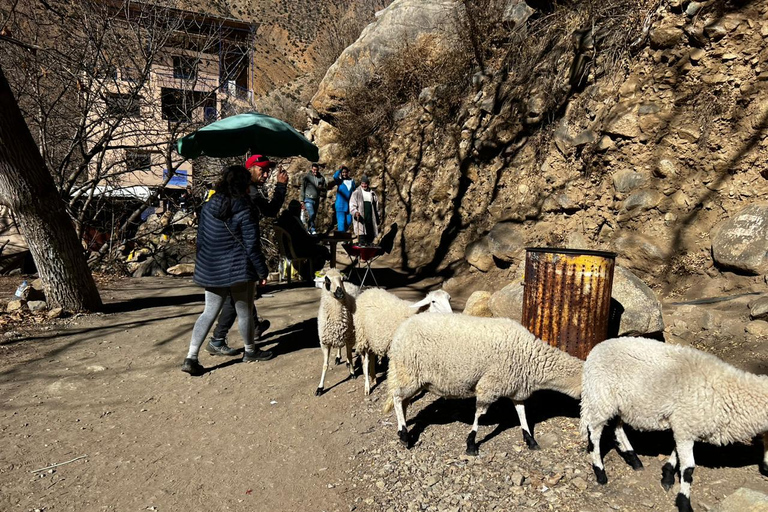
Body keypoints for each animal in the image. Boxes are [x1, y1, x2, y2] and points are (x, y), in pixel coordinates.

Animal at [384, 314, 584, 454]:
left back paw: (403, 430)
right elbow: (479, 414)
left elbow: (522, 413)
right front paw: (471, 444)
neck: (531, 359)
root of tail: (399, 333)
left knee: (403, 401)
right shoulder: (490, 385)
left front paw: (530, 440)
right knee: (397, 397)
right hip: (410, 372)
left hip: (411, 376)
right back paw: (404, 435)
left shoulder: (515, 387)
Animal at [584, 336, 768, 512]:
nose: (767, 469)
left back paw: (633, 458)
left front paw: (667, 475)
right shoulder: (685, 424)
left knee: (617, 427)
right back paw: (600, 473)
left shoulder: (683, 424)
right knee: (594, 432)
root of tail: (595, 351)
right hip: (602, 397)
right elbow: (688, 469)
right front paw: (684, 503)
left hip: (621, 404)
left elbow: (677, 452)